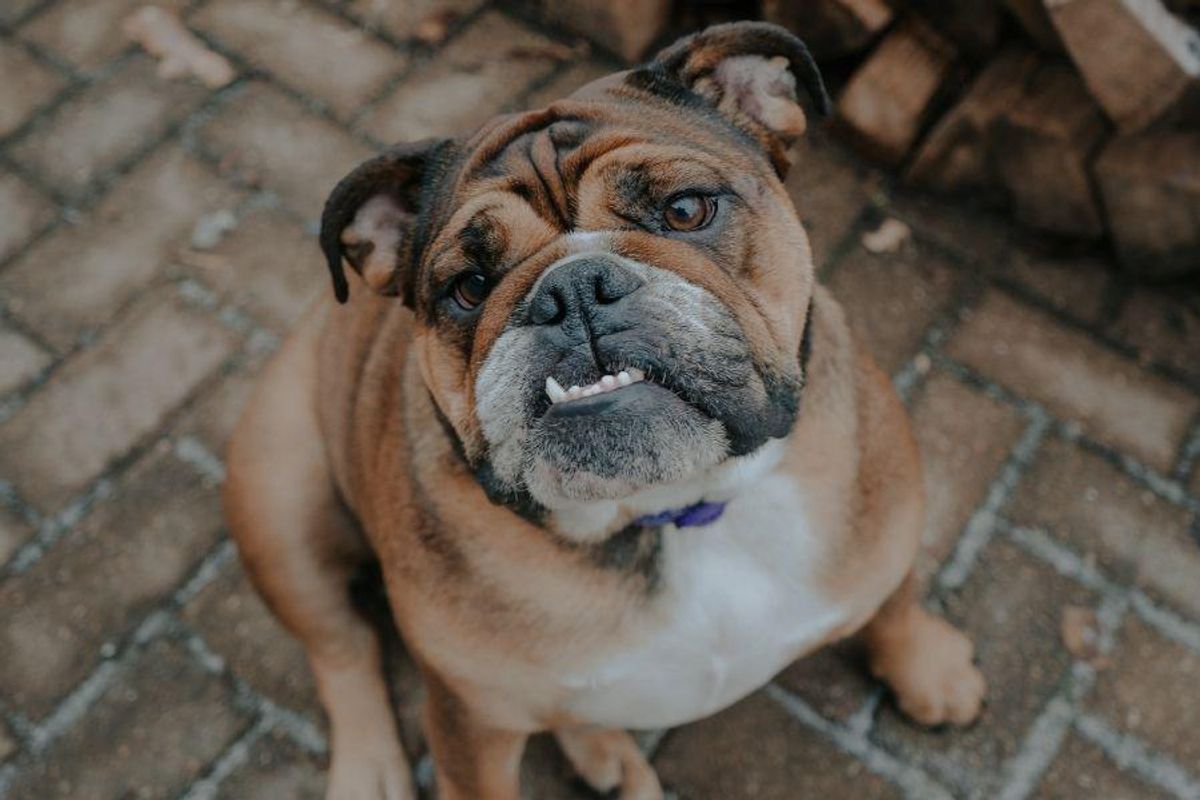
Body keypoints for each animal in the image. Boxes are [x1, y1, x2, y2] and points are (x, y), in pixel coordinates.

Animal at [223, 23, 984, 800]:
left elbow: (896, 601)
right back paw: (372, 769)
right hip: (280, 508)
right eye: (469, 287)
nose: (573, 289)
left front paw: (929, 668)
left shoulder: (887, 526)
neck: (674, 506)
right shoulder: (472, 723)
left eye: (685, 210)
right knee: (341, 649)